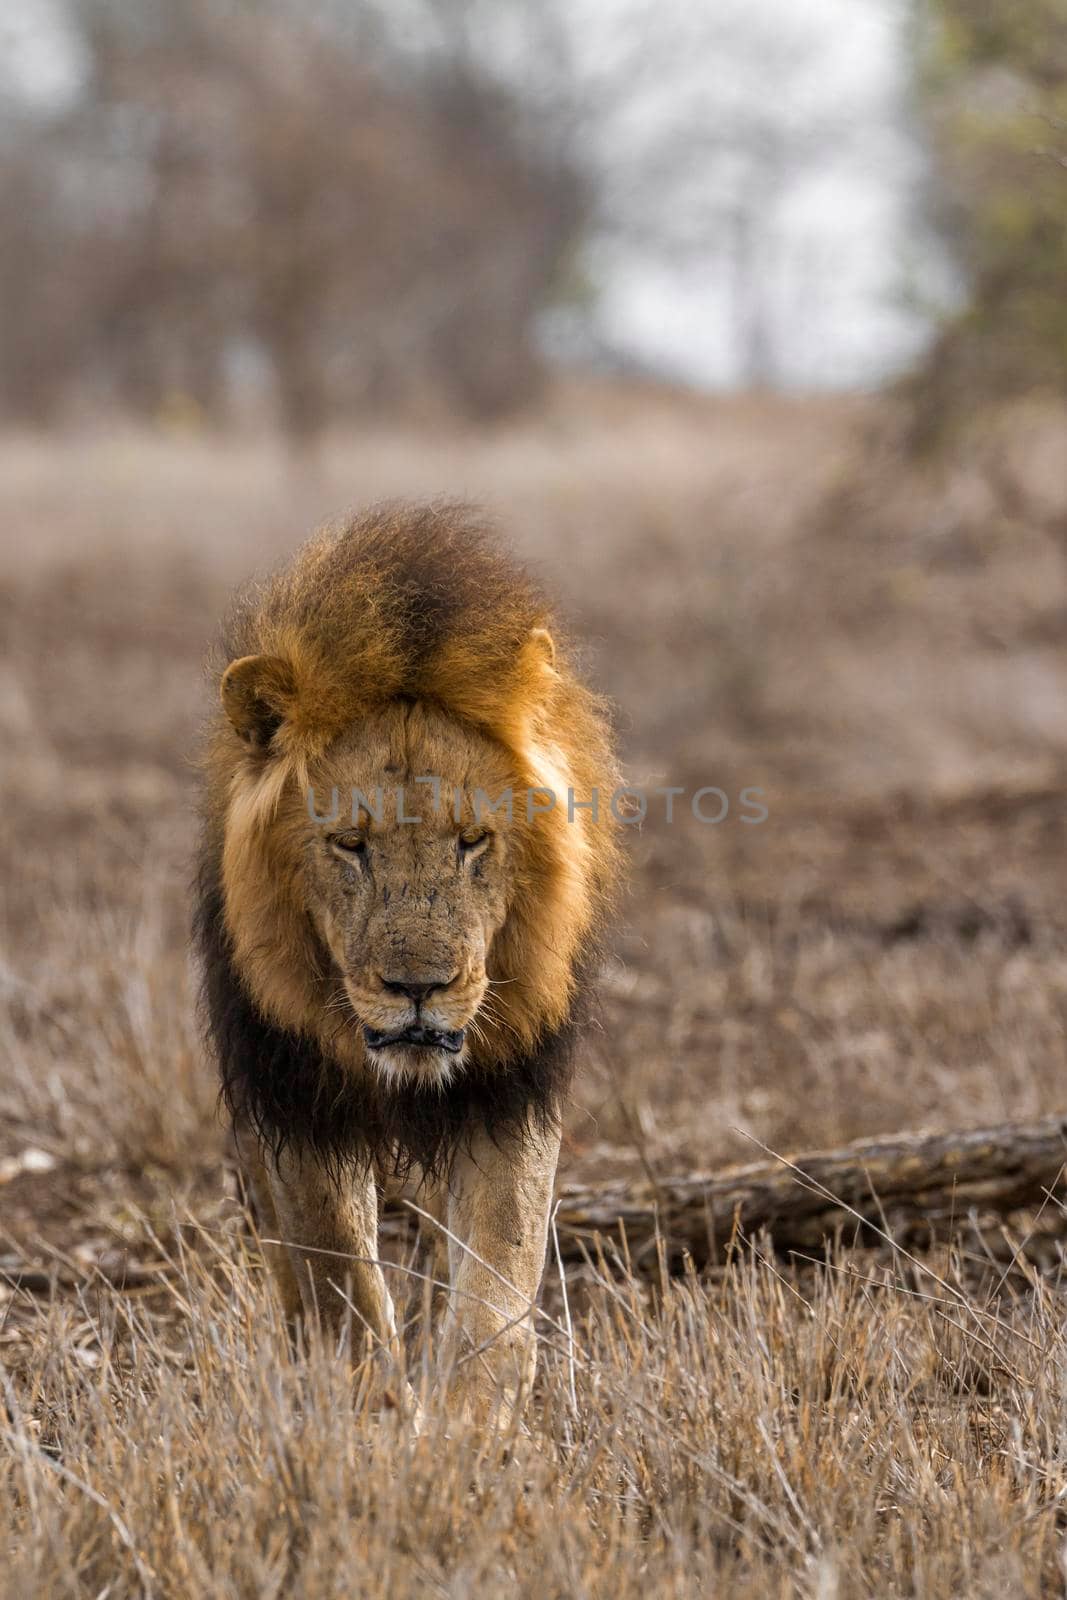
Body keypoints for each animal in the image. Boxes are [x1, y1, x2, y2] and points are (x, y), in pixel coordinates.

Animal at [195, 502, 620, 1427]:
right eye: (350, 846)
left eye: (472, 841)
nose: (418, 990)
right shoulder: (293, 1091)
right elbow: (336, 1268)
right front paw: (370, 1413)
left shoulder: (510, 1085)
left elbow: (498, 1271)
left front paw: (472, 1425)